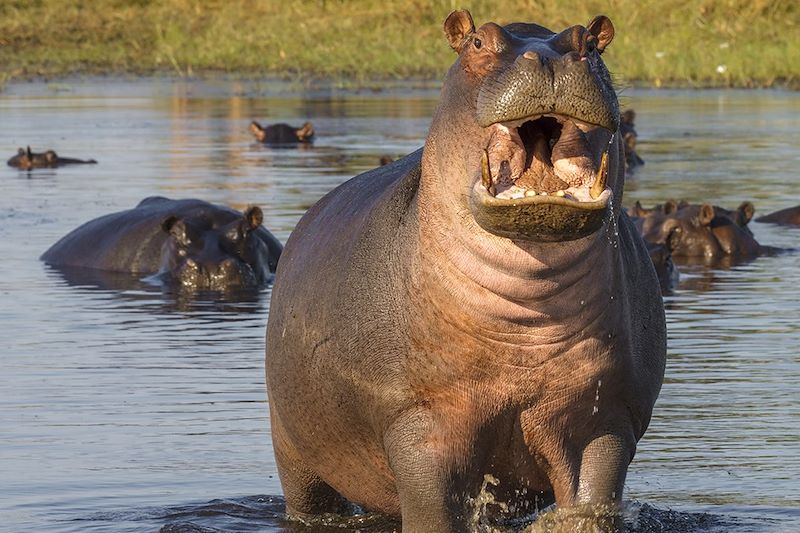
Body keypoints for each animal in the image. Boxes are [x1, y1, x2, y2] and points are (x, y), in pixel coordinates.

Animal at [266, 9, 664, 532]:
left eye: (592, 44)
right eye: (477, 41)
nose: (549, 58)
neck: (528, 310)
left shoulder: (604, 417)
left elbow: (590, 505)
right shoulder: (420, 422)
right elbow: (433, 510)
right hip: (294, 452)